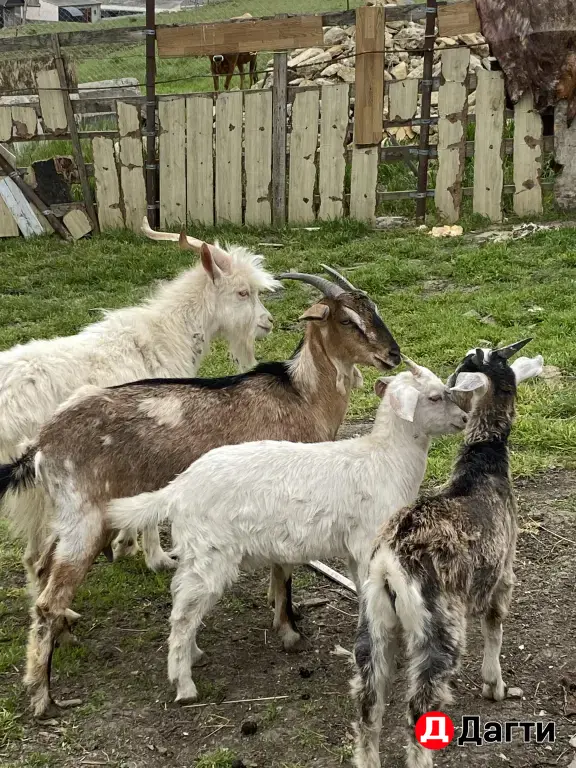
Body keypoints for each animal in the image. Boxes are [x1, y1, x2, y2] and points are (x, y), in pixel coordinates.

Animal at [0, 218, 276, 591]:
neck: (168, 335)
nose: (268, 323)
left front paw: (124, 543)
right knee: (33, 553)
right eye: (243, 292)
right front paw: (157, 557)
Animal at [0, 268, 401, 719]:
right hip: (86, 519)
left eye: (374, 309)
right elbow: (284, 567)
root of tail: (41, 443)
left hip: (68, 518)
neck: (301, 396)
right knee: (47, 598)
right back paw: (42, 695)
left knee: (40, 567)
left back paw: (66, 635)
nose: (393, 355)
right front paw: (289, 630)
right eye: (347, 320)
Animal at [107, 359, 470, 705]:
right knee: (182, 615)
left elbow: (363, 593)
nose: (464, 419)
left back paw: (193, 654)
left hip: (197, 553)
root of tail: (177, 489)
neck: (385, 459)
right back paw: (184, 686)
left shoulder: (355, 550)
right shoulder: (368, 541)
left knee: (182, 601)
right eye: (434, 397)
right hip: (211, 552)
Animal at [351, 342, 543, 768]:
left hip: (372, 622)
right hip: (439, 628)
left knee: (368, 704)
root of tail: (389, 563)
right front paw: (495, 686)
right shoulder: (503, 570)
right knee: (417, 711)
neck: (481, 469)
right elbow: (494, 625)